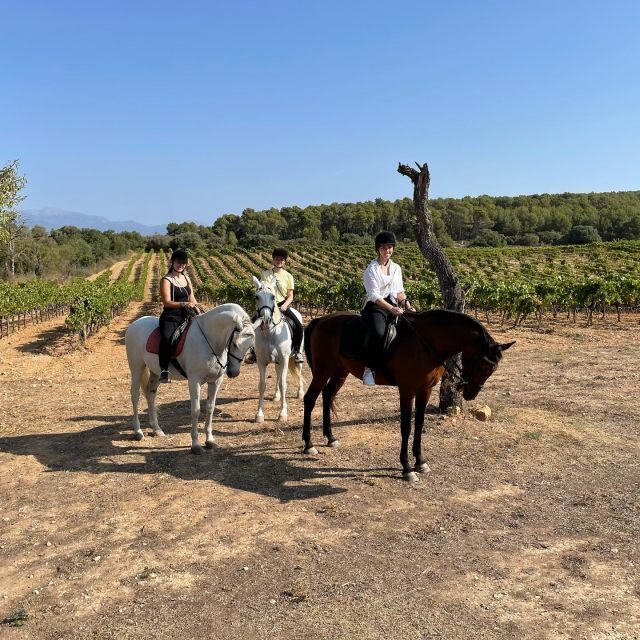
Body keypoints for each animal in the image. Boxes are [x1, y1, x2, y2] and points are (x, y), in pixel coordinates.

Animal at [124, 303, 260, 453]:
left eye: (250, 346)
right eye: (235, 344)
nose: (233, 372)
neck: (209, 339)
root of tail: (136, 323)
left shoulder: (215, 381)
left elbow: (210, 408)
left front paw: (209, 440)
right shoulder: (194, 381)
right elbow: (196, 410)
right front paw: (196, 444)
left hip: (155, 373)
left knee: (151, 395)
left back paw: (157, 429)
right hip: (137, 368)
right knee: (135, 396)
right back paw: (138, 432)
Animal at [252, 275, 304, 423]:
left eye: (273, 296)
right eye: (257, 296)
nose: (265, 319)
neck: (270, 332)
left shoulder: (285, 359)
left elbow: (283, 383)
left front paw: (282, 414)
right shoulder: (261, 361)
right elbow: (262, 385)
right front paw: (259, 415)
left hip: (295, 358)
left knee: (298, 371)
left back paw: (300, 393)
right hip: (276, 362)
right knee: (277, 373)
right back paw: (276, 396)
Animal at [302, 309, 514, 481]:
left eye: (493, 369)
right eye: (484, 364)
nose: (470, 393)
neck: (426, 343)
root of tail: (321, 320)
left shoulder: (425, 390)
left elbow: (419, 424)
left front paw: (420, 462)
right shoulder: (406, 390)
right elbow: (406, 427)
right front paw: (406, 468)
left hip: (340, 371)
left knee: (327, 395)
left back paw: (330, 437)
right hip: (323, 371)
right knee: (310, 399)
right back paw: (308, 444)